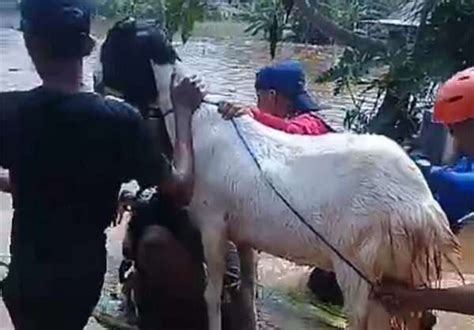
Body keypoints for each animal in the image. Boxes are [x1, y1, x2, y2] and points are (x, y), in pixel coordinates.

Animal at [154, 63, 462, 328]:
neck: (198, 124)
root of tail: (424, 207)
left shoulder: (213, 223)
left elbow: (213, 295)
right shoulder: (243, 234)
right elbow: (247, 290)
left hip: (359, 265)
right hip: (396, 270)